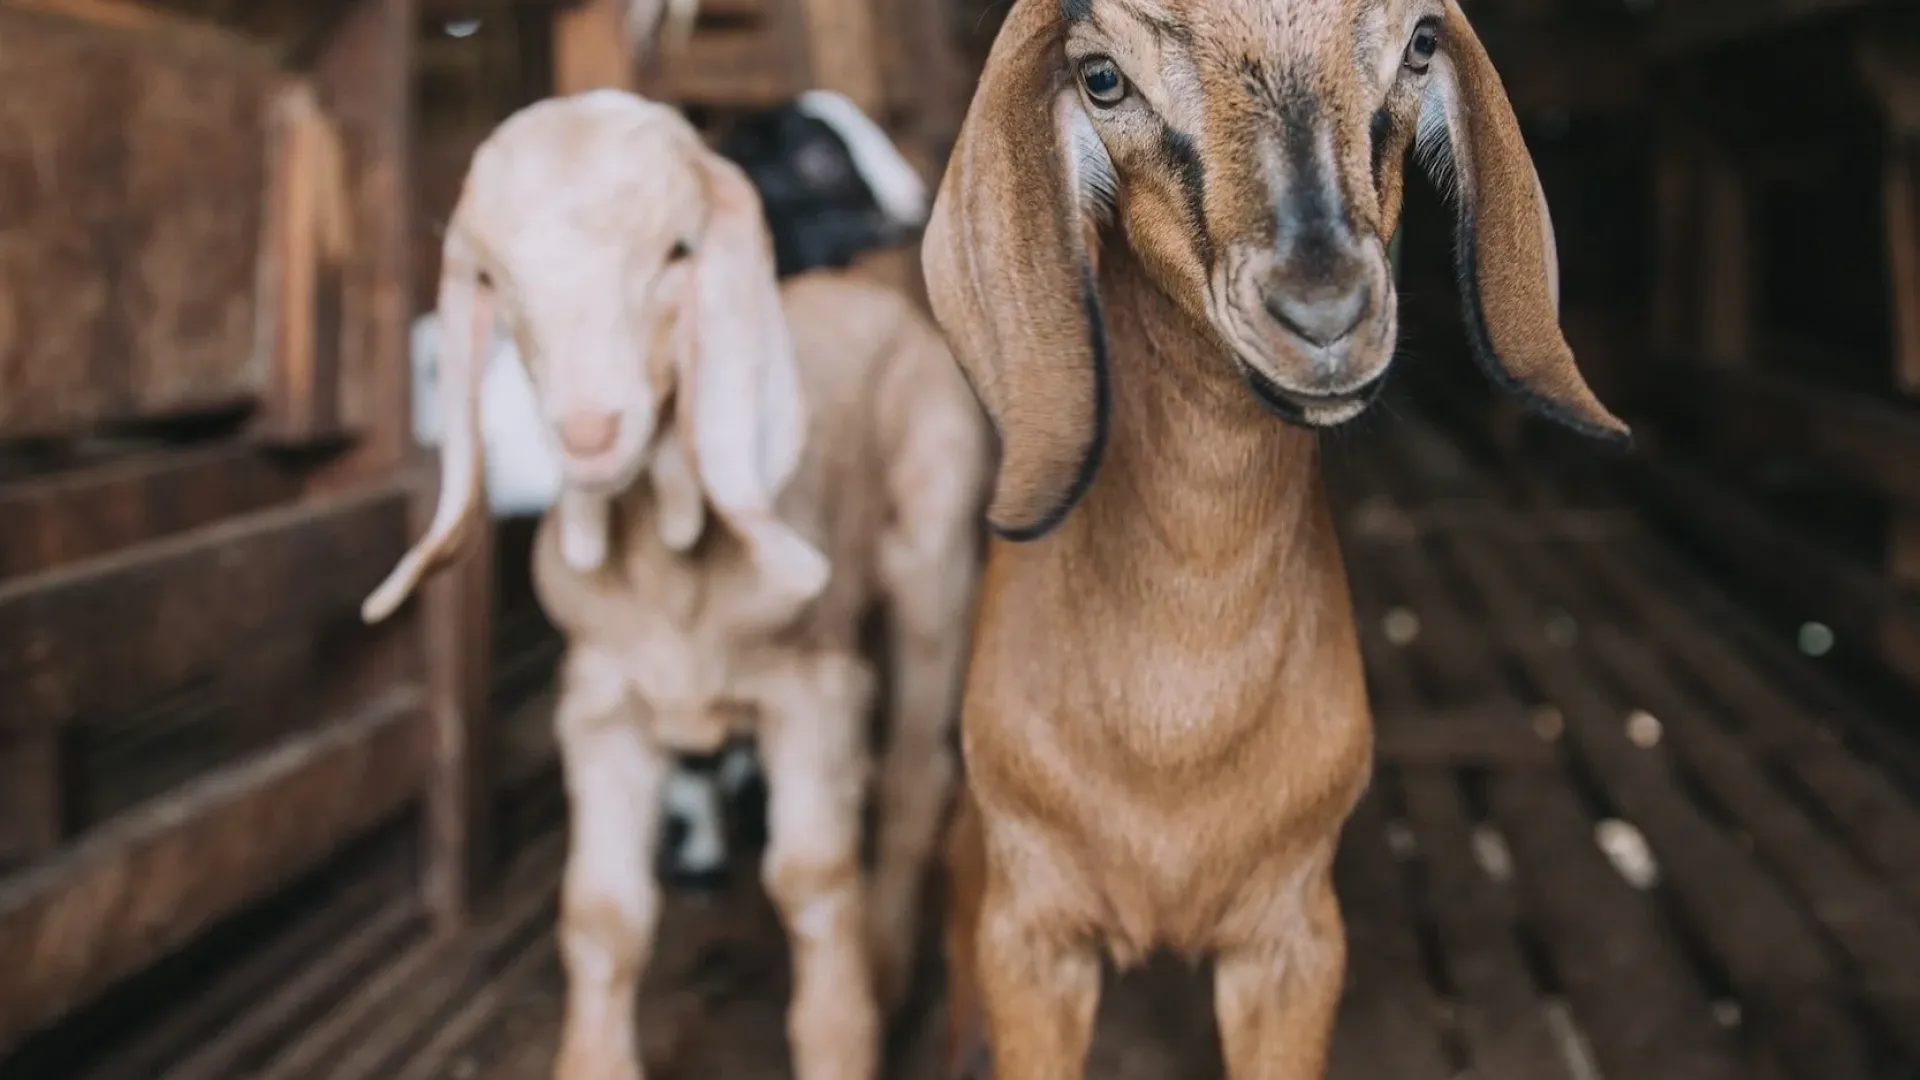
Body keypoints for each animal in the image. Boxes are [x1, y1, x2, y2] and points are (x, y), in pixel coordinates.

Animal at [921, 1, 1627, 1078]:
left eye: (1420, 43)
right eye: (1102, 77)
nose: (1325, 312)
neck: (1176, 725)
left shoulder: (1293, 938)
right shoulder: (1032, 930)